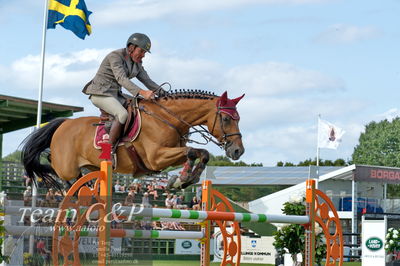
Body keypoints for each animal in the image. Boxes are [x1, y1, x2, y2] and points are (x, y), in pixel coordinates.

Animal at [22, 90, 247, 190]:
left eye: (239, 118)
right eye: (226, 119)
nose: (238, 151)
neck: (169, 118)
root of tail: (63, 124)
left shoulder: (168, 156)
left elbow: (201, 153)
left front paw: (183, 180)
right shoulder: (156, 158)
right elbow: (192, 151)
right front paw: (182, 178)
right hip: (67, 166)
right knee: (58, 170)